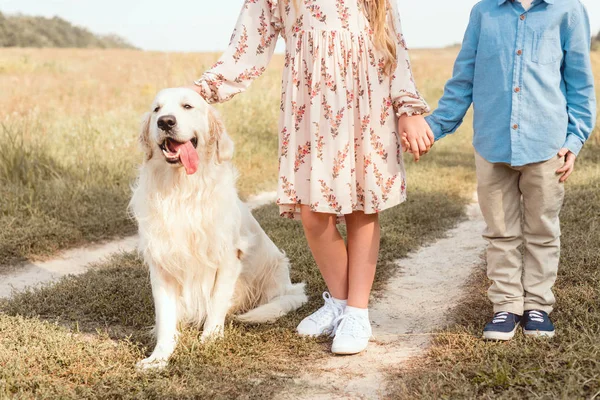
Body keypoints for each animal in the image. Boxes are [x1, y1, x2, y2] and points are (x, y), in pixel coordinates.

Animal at [131, 89, 310, 370]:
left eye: (187, 106)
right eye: (157, 109)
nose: (165, 122)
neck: (181, 189)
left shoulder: (227, 258)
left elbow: (216, 302)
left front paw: (210, 339)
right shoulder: (161, 263)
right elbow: (165, 316)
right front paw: (158, 357)